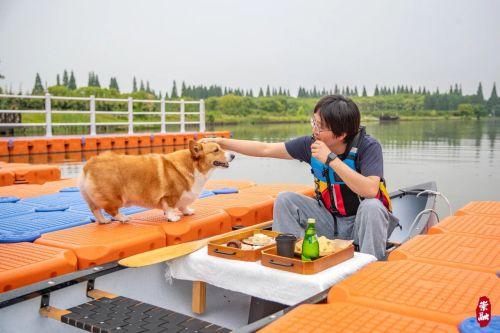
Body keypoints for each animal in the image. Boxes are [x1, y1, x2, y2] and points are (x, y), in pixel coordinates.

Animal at [78, 140, 234, 223]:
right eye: (216, 150)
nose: (233, 155)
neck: (193, 165)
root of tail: (90, 163)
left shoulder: (183, 196)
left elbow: (183, 205)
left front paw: (187, 211)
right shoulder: (170, 196)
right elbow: (170, 208)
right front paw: (173, 218)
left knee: (95, 209)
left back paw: (103, 221)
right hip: (114, 197)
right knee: (110, 209)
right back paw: (122, 218)